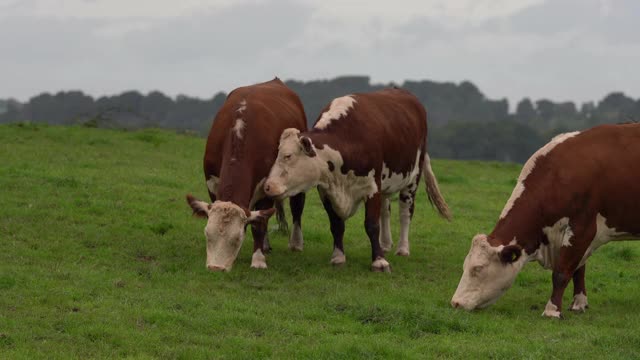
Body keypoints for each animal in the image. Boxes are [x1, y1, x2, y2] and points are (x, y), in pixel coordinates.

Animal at [185, 77, 308, 272]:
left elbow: (259, 225)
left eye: (236, 238)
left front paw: (258, 260)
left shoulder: (266, 187)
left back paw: (295, 243)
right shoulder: (212, 183)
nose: (216, 268)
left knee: (297, 206)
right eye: (207, 234)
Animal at [262, 87, 452, 272]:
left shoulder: (372, 188)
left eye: (288, 156)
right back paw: (385, 244)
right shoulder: (326, 191)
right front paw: (338, 257)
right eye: (277, 154)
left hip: (412, 178)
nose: (268, 186)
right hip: (386, 183)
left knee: (405, 212)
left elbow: (371, 225)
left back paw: (403, 248)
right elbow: (336, 225)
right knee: (385, 211)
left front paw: (379, 261)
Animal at [450, 123, 640, 318]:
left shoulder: (582, 229)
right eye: (465, 265)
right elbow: (579, 271)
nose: (455, 303)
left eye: (478, 268)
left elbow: (562, 273)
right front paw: (578, 304)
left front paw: (552, 310)